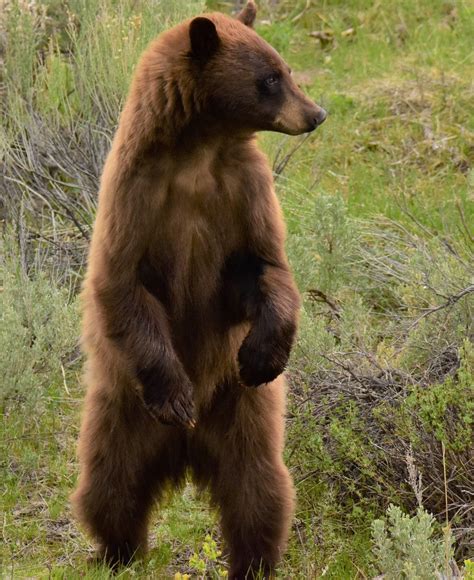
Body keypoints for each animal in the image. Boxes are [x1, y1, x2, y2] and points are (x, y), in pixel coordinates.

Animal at [72, 2, 328, 576]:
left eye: (285, 68)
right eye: (271, 78)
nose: (316, 114)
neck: (199, 150)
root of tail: (186, 453)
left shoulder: (244, 191)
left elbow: (265, 267)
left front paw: (262, 354)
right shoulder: (135, 193)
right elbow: (122, 283)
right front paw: (175, 396)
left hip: (244, 419)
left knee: (260, 493)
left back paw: (255, 560)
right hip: (121, 414)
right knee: (110, 486)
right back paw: (118, 551)